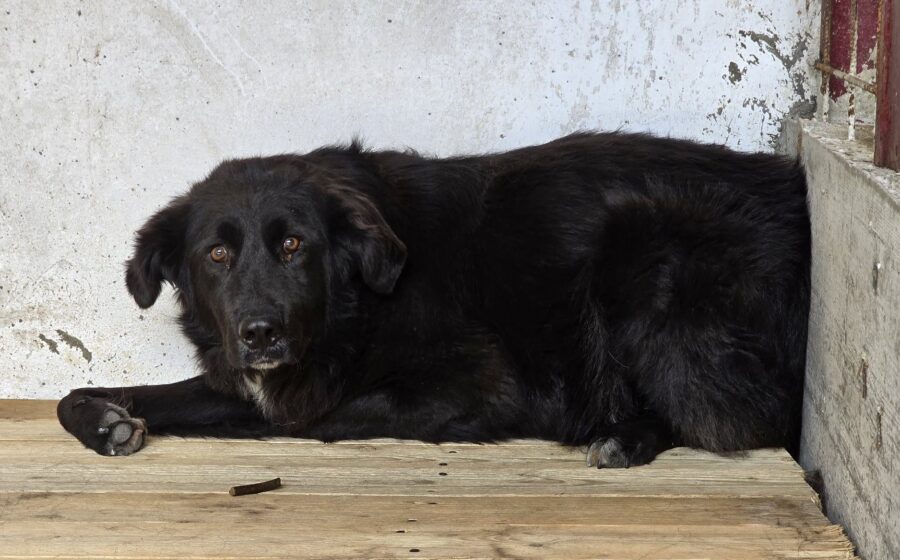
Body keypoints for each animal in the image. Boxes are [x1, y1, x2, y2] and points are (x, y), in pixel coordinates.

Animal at [57, 131, 811, 468]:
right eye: (216, 255)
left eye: (294, 245)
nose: (260, 333)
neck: (359, 308)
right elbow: (89, 395)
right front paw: (105, 421)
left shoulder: (481, 383)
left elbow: (306, 418)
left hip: (644, 256)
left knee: (745, 414)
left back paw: (623, 435)